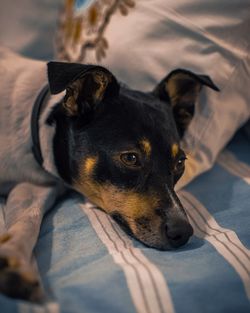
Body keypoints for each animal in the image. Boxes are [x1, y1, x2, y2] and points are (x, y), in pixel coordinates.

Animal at [0, 47, 219, 302]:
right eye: (130, 158)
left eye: (180, 162)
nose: (182, 233)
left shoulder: (34, 188)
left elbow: (27, 221)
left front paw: (14, 262)